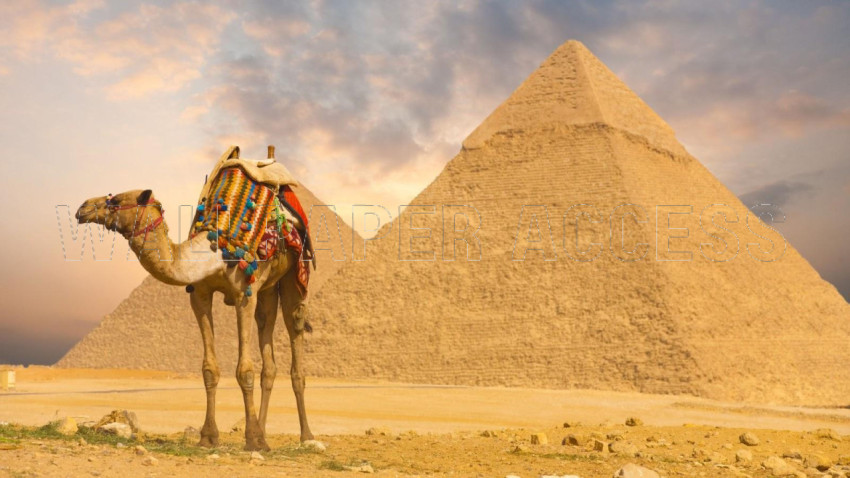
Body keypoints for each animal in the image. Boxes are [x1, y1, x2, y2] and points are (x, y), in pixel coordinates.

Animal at [75, 148, 314, 451]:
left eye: (115, 199)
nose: (82, 207)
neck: (216, 250)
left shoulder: (243, 294)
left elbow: (244, 369)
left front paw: (252, 439)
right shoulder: (200, 295)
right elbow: (209, 369)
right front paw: (209, 437)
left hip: (294, 274)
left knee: (295, 333)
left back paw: (306, 436)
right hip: (268, 290)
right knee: (268, 355)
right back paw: (265, 433)